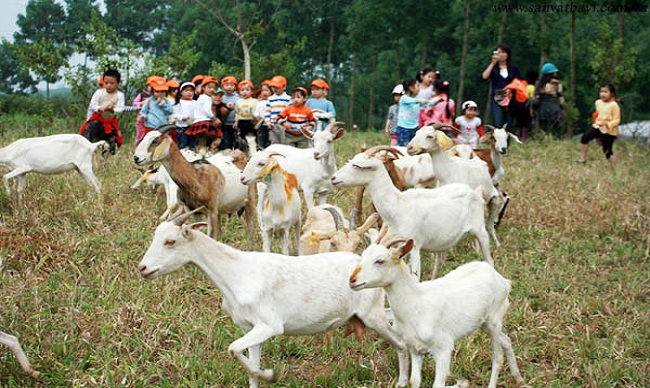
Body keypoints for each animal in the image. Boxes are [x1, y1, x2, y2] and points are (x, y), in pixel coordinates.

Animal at [139, 211, 408, 386]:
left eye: (170, 241)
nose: (143, 268)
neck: (237, 272)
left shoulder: (269, 325)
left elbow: (233, 348)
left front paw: (270, 375)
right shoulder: (251, 328)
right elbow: (249, 364)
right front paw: (261, 375)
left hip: (371, 314)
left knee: (401, 343)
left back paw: (403, 379)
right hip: (371, 313)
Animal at [332, 151, 488, 278]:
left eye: (356, 165)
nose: (333, 178)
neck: (398, 205)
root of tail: (475, 192)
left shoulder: (415, 245)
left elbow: (415, 276)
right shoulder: (392, 241)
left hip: (481, 232)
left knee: (488, 258)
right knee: (439, 261)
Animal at [350, 238, 520, 386]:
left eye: (380, 261)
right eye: (362, 256)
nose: (352, 280)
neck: (415, 304)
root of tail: (503, 280)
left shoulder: (444, 348)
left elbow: (438, 384)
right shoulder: (416, 350)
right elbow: (414, 381)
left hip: (494, 320)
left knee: (498, 357)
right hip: (483, 323)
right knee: (506, 341)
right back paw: (519, 379)